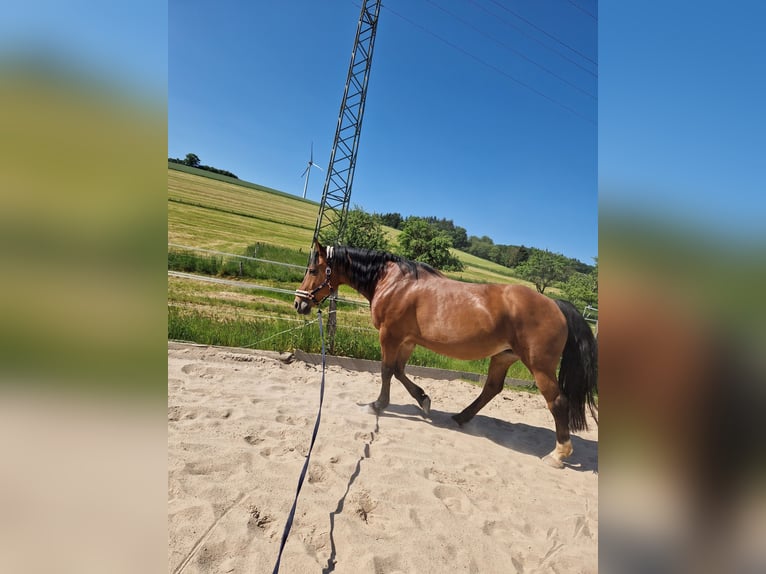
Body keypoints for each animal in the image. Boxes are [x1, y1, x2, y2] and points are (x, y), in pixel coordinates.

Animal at [296, 242, 600, 468]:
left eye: (313, 268)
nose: (299, 303)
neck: (394, 283)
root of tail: (556, 305)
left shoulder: (390, 336)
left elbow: (386, 370)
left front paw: (378, 405)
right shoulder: (407, 341)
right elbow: (399, 371)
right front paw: (423, 400)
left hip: (539, 366)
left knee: (557, 402)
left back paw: (558, 454)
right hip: (503, 356)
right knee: (492, 388)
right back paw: (461, 417)